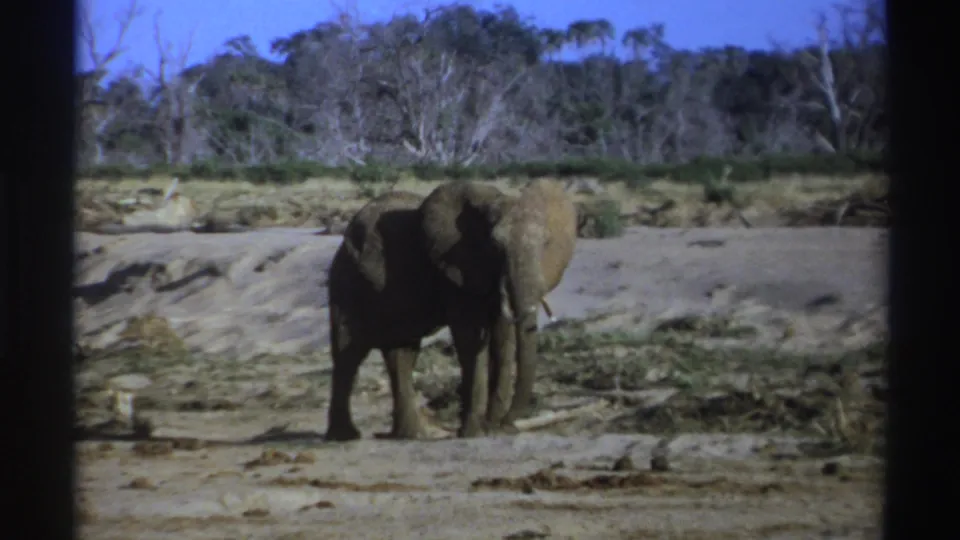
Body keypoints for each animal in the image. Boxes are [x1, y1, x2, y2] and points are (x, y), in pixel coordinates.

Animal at [418, 178, 578, 433]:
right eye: (495, 246)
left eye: (546, 243)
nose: (506, 423)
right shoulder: (456, 273)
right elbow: (469, 336)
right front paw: (474, 430)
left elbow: (503, 337)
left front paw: (491, 425)